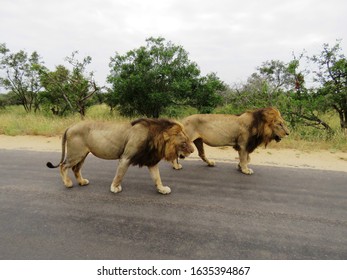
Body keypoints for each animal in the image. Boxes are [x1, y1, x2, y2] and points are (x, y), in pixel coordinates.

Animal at [46, 118, 194, 195]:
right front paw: (114, 188)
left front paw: (162, 189)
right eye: (184, 142)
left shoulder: (151, 161)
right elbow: (119, 175)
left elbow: (157, 177)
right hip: (76, 153)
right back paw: (68, 183)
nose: (192, 151)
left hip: (83, 154)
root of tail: (70, 126)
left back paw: (82, 182)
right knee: (63, 166)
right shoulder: (126, 157)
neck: (155, 138)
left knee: (75, 169)